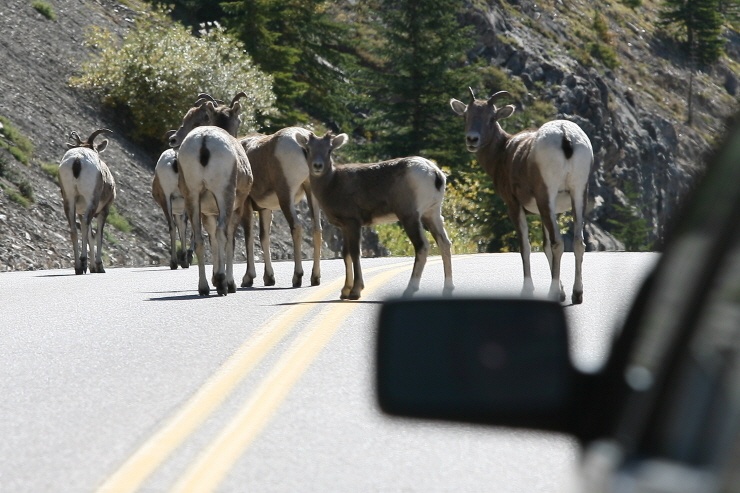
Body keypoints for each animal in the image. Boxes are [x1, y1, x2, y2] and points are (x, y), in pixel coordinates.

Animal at [58, 128, 115, 272]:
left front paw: (93, 267)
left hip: (69, 200)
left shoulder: (80, 211)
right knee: (84, 224)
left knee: (74, 228)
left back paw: (78, 267)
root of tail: (78, 159)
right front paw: (99, 266)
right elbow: (99, 235)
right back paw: (83, 261)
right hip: (91, 201)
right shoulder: (104, 211)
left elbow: (90, 236)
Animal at [169, 92, 253, 296]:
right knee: (223, 234)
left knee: (199, 239)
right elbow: (228, 241)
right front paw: (228, 283)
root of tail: (204, 140)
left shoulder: (207, 212)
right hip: (224, 196)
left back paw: (204, 287)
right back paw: (223, 285)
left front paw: (215, 278)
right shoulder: (236, 207)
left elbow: (211, 240)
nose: (173, 139)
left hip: (192, 197)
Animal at [240, 126, 320, 288]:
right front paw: (269, 278)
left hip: (285, 196)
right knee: (317, 229)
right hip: (312, 193)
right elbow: (264, 237)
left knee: (296, 227)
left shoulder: (247, 206)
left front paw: (248, 278)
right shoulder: (265, 210)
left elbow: (249, 236)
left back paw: (297, 277)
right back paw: (315, 278)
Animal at [294, 131, 450, 300]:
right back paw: (448, 289)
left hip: (410, 216)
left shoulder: (353, 223)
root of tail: (435, 173)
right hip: (432, 214)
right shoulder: (344, 227)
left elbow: (355, 253)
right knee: (444, 243)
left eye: (329, 150)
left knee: (422, 246)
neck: (332, 183)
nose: (317, 166)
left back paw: (409, 290)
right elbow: (346, 254)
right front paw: (345, 291)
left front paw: (355, 291)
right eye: (308, 148)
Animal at [448, 89, 592, 304]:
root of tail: (565, 135)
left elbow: (525, 246)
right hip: (578, 195)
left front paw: (529, 290)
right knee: (577, 243)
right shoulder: (545, 211)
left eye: (491, 118)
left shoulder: (513, 205)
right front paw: (563, 291)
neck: (503, 152)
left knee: (558, 243)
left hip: (547, 196)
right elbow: (545, 246)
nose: (472, 140)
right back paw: (577, 294)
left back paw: (553, 294)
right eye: (466, 115)